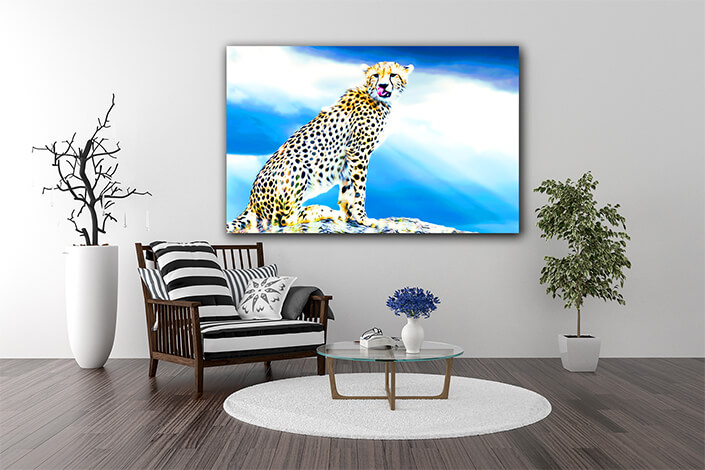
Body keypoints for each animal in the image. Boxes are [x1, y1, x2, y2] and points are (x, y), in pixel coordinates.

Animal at [227, 61, 414, 232]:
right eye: (375, 75)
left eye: (393, 75)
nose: (382, 85)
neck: (378, 98)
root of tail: (251, 201)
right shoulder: (358, 152)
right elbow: (360, 190)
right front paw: (363, 219)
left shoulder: (350, 157)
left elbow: (347, 190)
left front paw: (349, 216)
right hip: (295, 164)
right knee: (286, 218)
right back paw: (322, 211)